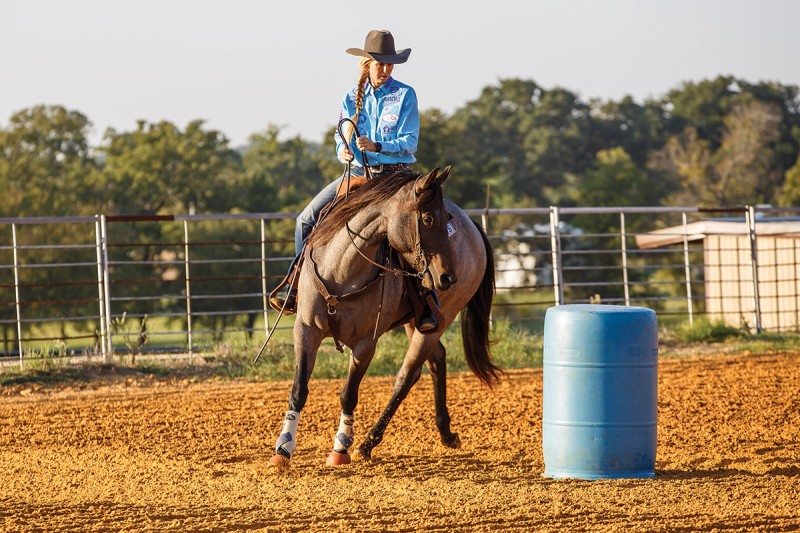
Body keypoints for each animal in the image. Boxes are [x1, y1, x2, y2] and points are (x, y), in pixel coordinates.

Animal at [270, 166, 500, 466]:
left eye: (446, 219)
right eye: (427, 218)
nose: (448, 277)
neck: (341, 271)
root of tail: (474, 227)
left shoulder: (366, 343)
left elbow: (349, 394)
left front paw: (341, 448)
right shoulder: (306, 328)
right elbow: (299, 388)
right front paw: (283, 448)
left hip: (443, 316)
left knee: (407, 375)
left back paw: (368, 443)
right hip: (419, 321)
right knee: (436, 359)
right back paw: (446, 432)